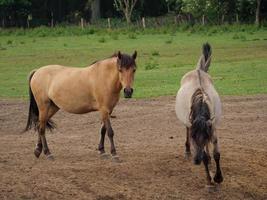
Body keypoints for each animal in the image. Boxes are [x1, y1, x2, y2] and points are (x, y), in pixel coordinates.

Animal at [176, 43, 224, 186]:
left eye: (205, 136)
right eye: (193, 137)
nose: (196, 160)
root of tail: (198, 70)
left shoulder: (212, 128)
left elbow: (216, 153)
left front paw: (218, 177)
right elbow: (205, 157)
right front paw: (209, 179)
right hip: (187, 123)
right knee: (186, 129)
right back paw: (187, 151)